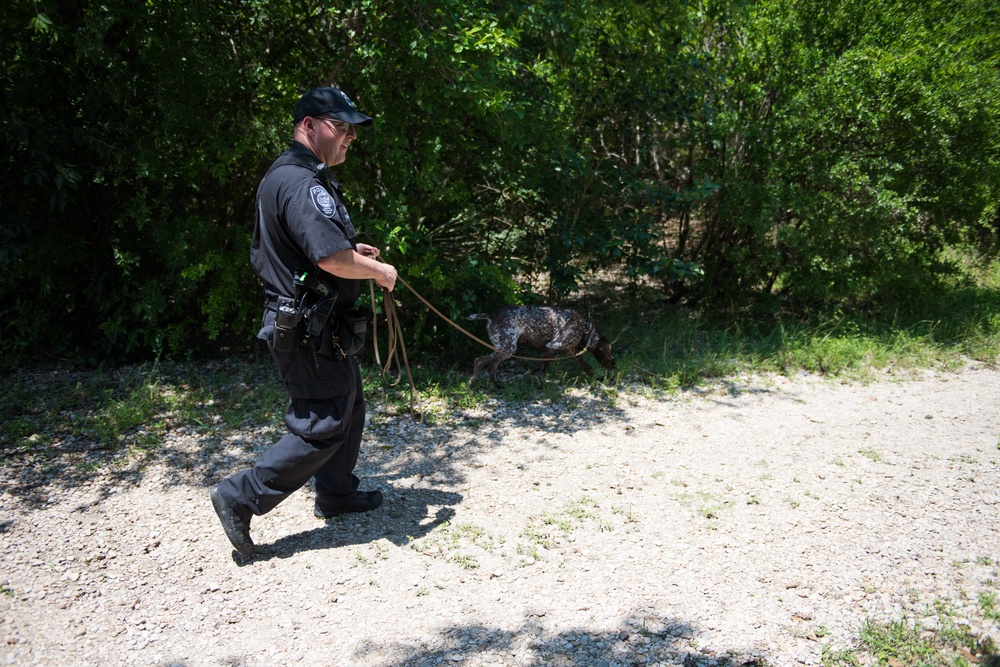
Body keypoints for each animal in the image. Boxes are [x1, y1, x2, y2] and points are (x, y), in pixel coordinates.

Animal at [466, 304, 612, 386]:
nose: (614, 365)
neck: (584, 328)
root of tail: (491, 314)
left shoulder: (570, 352)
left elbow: (587, 367)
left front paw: (598, 378)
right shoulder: (552, 347)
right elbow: (543, 370)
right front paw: (542, 384)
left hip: (504, 349)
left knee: (492, 368)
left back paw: (498, 385)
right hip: (507, 348)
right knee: (479, 360)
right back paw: (472, 382)